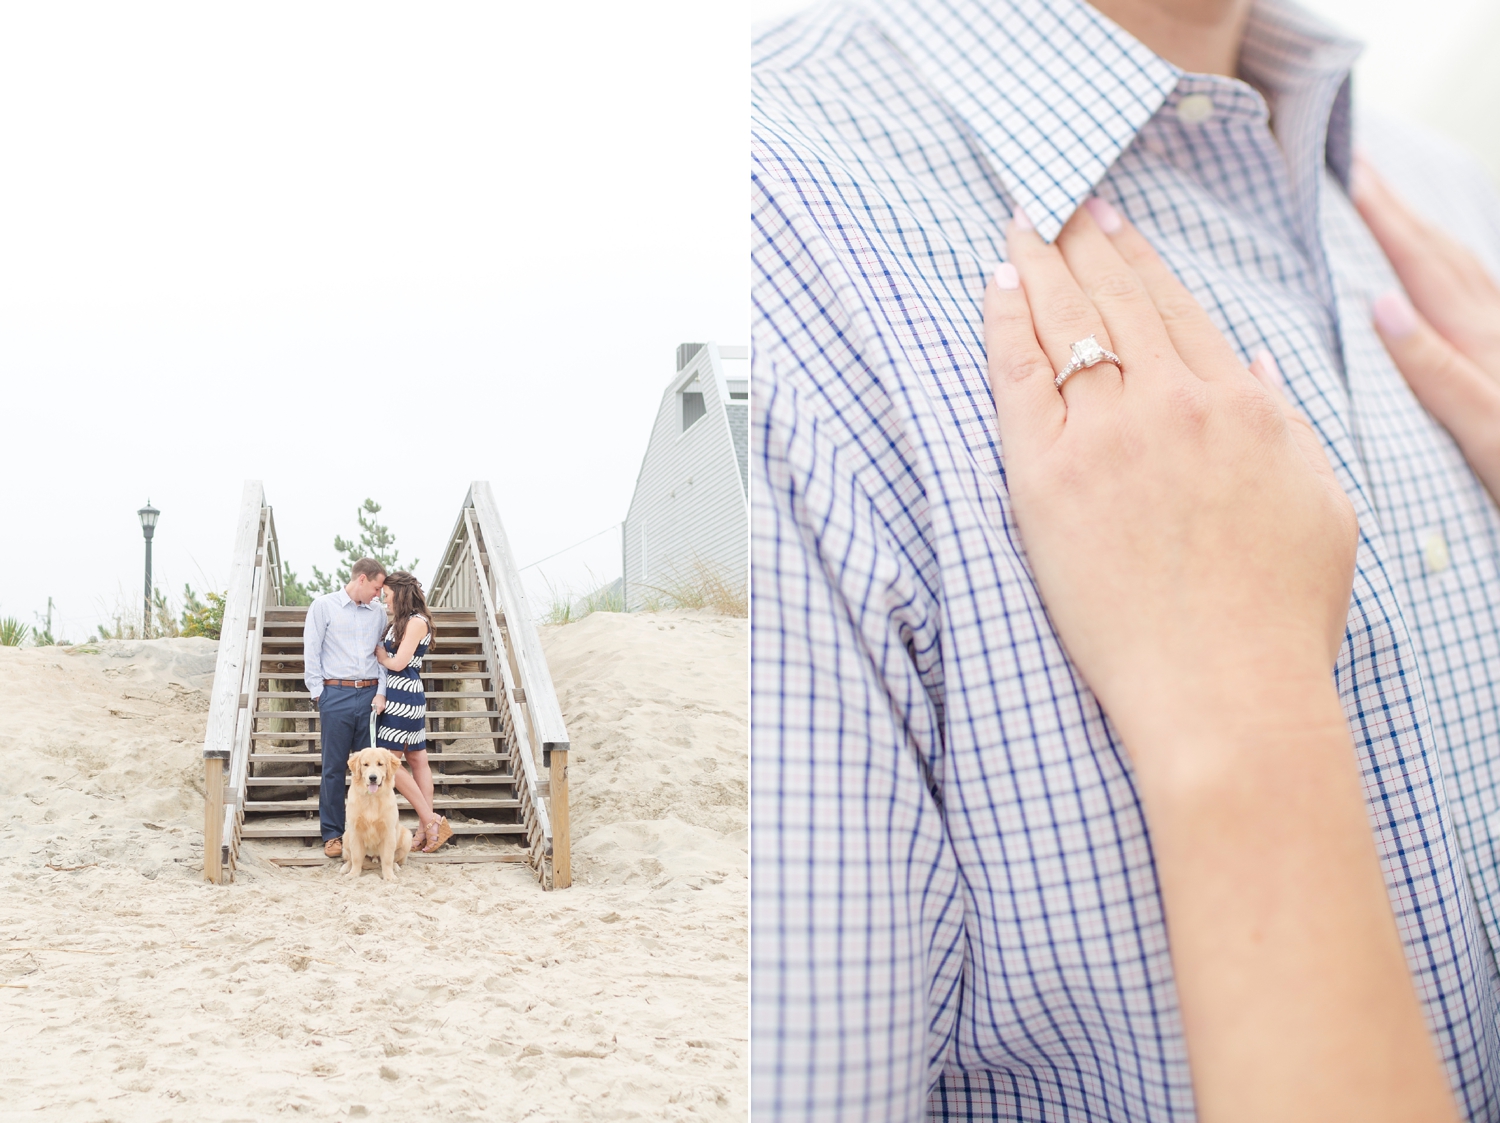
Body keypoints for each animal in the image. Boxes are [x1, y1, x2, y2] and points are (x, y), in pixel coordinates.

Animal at [340, 749, 411, 881]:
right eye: (365, 764)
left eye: (380, 764)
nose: (372, 777)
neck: (372, 798)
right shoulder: (355, 831)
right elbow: (356, 857)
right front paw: (353, 874)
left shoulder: (389, 832)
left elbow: (387, 859)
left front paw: (389, 876)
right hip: (346, 836)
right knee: (349, 859)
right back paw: (345, 868)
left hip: (407, 838)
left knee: (394, 859)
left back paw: (395, 867)